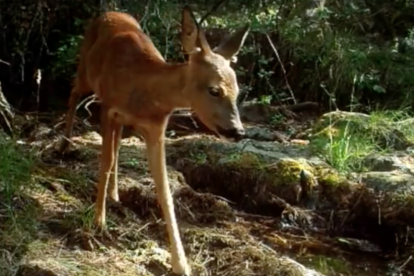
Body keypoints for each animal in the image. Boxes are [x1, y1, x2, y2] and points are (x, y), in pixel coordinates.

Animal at [57, 5, 249, 274]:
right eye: (214, 90)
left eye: (238, 91)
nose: (237, 131)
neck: (144, 86)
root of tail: (110, 11)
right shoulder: (108, 107)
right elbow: (105, 162)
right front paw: (99, 221)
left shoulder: (156, 129)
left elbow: (165, 191)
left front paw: (181, 264)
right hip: (85, 67)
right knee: (73, 94)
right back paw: (64, 145)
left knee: (117, 142)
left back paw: (115, 194)